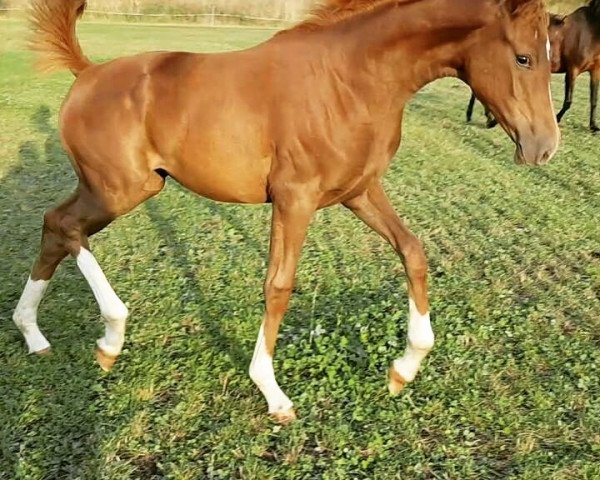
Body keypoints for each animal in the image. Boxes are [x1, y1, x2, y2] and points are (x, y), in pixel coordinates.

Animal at [14, 0, 556, 424]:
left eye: (553, 60)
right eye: (524, 57)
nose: (545, 147)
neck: (350, 78)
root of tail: (87, 72)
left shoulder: (360, 191)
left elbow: (413, 252)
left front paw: (404, 369)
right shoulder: (295, 199)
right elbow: (278, 286)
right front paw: (273, 394)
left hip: (119, 189)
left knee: (55, 227)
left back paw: (34, 334)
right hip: (120, 190)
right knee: (66, 228)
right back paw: (110, 334)